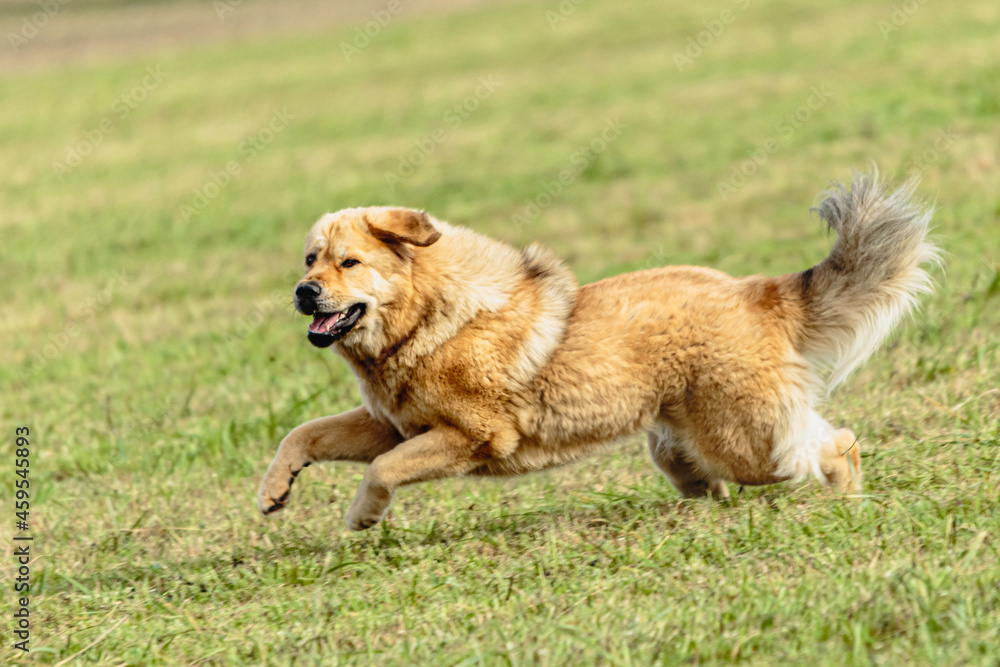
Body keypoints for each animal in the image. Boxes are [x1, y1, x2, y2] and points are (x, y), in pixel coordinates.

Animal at [258, 174, 936, 532]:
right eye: (310, 259)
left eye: (350, 263)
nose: (303, 292)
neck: (428, 321)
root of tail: (758, 293)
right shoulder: (391, 423)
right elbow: (304, 433)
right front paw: (274, 492)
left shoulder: (471, 437)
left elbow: (381, 470)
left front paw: (362, 516)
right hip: (683, 449)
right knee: (727, 475)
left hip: (744, 439)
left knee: (835, 445)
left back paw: (848, 504)